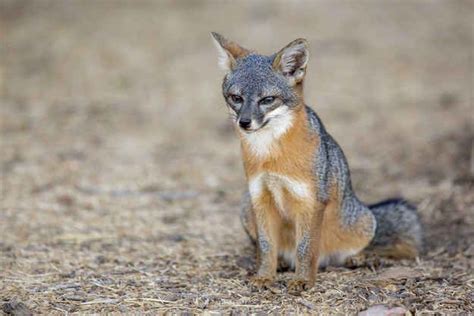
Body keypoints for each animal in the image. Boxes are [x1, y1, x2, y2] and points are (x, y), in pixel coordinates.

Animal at [211, 32, 422, 294]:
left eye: (267, 99)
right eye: (236, 98)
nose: (244, 122)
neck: (270, 155)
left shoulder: (310, 201)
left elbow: (305, 247)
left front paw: (303, 280)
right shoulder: (260, 197)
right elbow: (266, 245)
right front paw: (264, 276)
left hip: (362, 222)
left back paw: (361, 257)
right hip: (245, 205)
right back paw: (281, 263)